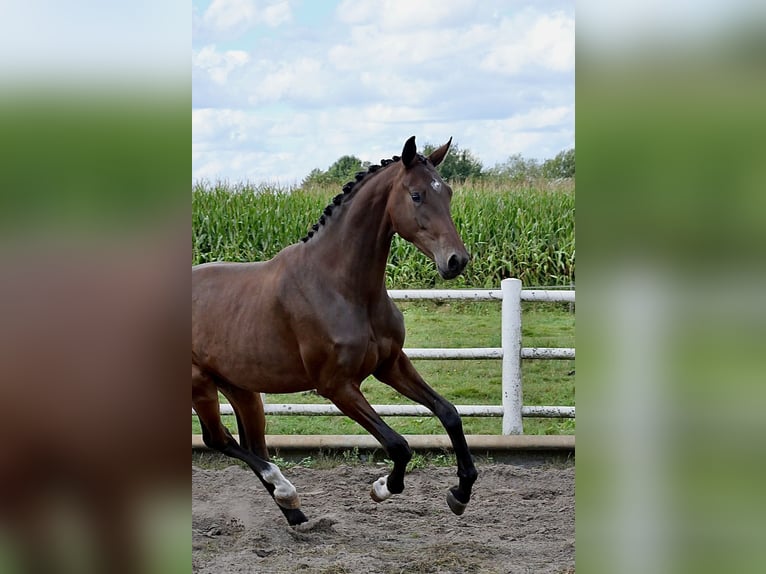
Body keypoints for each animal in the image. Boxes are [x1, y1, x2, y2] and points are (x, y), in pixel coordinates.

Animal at [194, 135, 474, 528]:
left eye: (447, 192)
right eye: (416, 195)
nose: (455, 261)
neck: (341, 286)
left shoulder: (391, 364)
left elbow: (449, 413)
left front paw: (460, 494)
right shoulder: (337, 386)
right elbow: (399, 445)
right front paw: (382, 488)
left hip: (241, 388)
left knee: (250, 444)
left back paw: (295, 514)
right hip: (200, 384)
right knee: (218, 440)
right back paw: (286, 490)